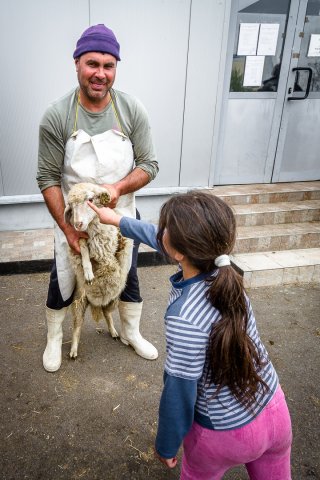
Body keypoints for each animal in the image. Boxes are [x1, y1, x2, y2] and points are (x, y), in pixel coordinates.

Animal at [63, 182, 132, 358]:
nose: (77, 224)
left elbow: (118, 246)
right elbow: (83, 248)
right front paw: (88, 272)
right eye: (71, 206)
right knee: (77, 326)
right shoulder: (80, 238)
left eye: (90, 199)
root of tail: (98, 301)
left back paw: (114, 332)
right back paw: (73, 349)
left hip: (114, 299)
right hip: (79, 300)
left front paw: (116, 261)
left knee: (107, 313)